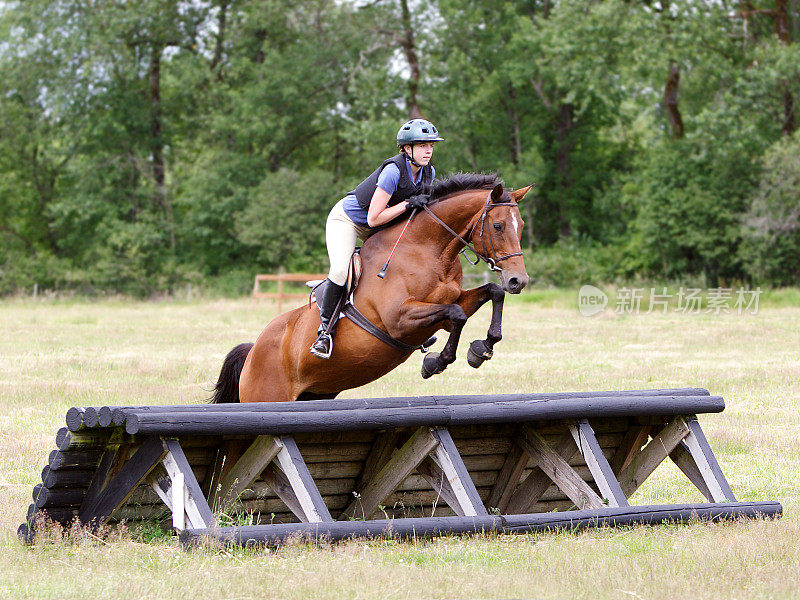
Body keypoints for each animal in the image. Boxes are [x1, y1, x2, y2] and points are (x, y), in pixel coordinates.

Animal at [212, 176, 536, 406]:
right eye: (497, 226)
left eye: (520, 226)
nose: (518, 281)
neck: (429, 250)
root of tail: (253, 351)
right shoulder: (400, 319)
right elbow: (457, 314)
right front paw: (436, 362)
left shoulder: (444, 309)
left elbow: (490, 293)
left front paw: (481, 348)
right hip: (268, 396)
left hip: (316, 393)